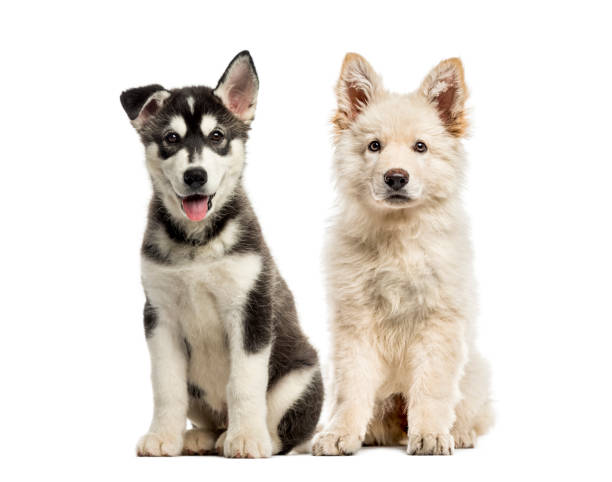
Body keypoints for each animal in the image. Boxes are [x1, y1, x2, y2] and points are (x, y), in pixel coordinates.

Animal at [117, 50, 322, 458]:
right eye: (171, 138)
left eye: (217, 137)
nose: (195, 176)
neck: (197, 243)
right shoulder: (159, 316)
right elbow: (166, 386)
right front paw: (162, 436)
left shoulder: (251, 310)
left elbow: (245, 383)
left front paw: (247, 439)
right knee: (203, 412)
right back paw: (200, 437)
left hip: (300, 376)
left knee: (286, 430)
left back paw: (250, 436)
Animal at [314, 53, 494, 456]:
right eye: (374, 146)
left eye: (420, 147)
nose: (396, 177)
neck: (398, 239)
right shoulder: (354, 324)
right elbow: (352, 390)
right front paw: (339, 434)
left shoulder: (439, 323)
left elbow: (431, 389)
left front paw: (430, 435)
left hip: (474, 369)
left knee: (467, 410)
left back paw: (459, 433)